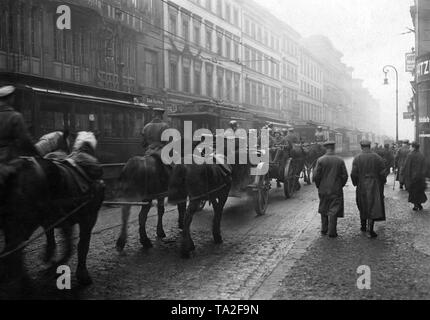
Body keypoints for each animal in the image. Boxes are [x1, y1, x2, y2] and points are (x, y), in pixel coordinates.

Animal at [0, 131, 104, 288]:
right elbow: (81, 246)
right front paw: (81, 274)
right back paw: (25, 284)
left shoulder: (57, 221)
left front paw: (51, 261)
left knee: (12, 254)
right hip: (24, 226)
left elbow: (61, 242)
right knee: (13, 254)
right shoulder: (88, 218)